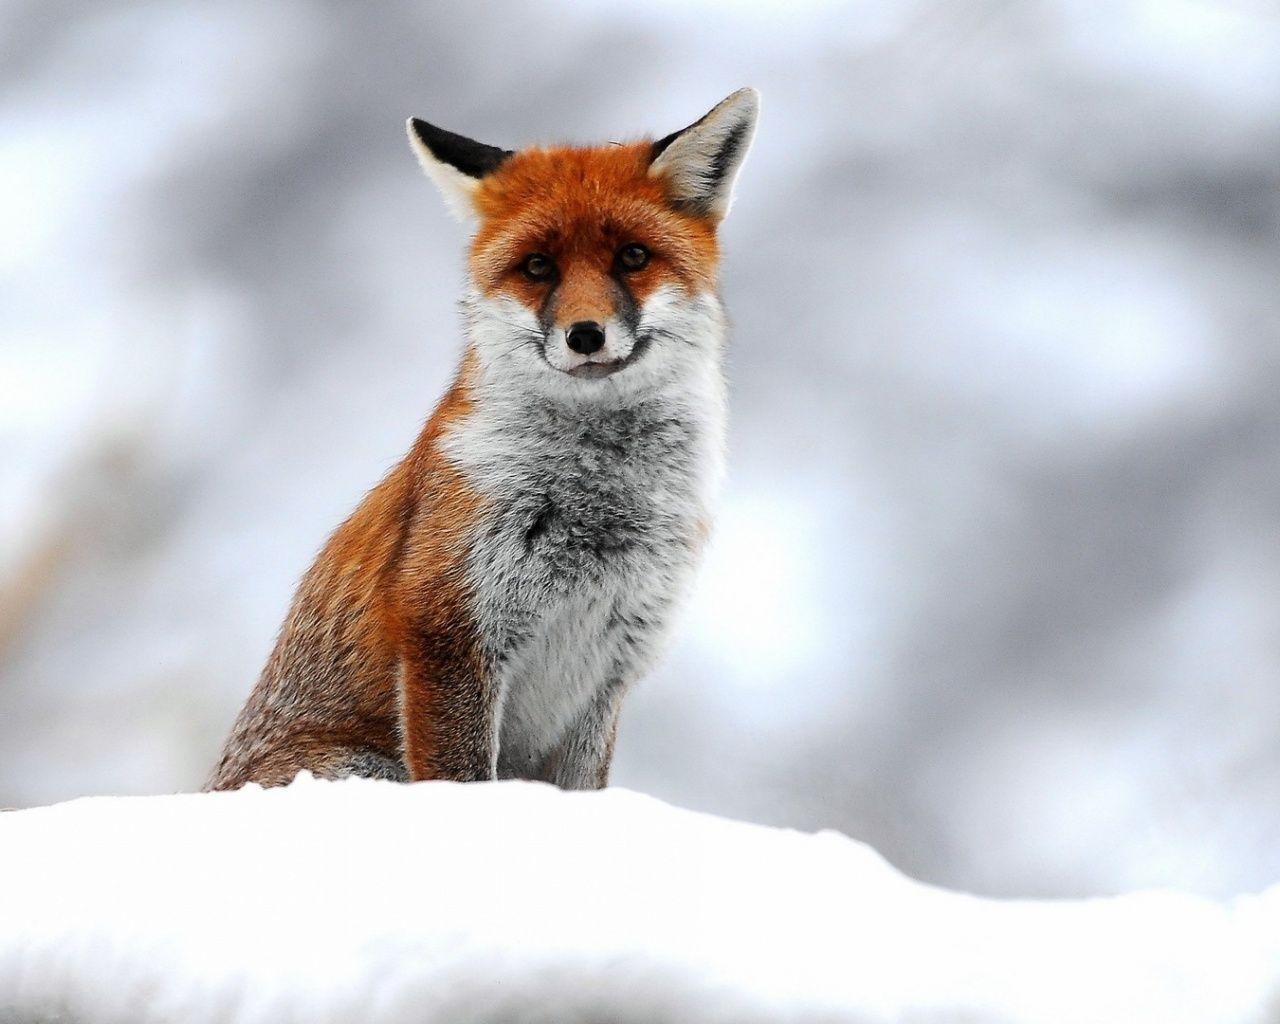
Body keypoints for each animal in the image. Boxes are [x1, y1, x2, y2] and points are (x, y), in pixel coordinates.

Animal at [206, 89, 759, 792]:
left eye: (633, 257)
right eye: (537, 267)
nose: (585, 334)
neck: (599, 504)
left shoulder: (609, 669)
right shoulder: (449, 630)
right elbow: (464, 778)